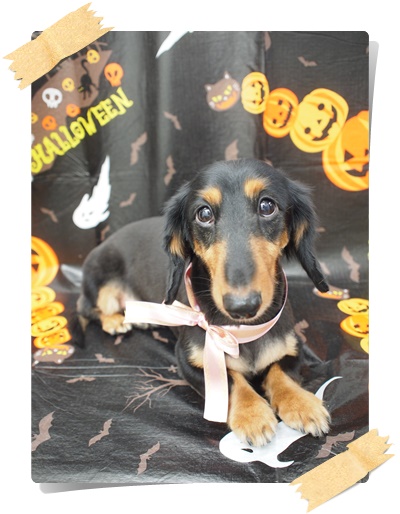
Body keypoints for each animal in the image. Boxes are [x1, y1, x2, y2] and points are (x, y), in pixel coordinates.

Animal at [74, 158, 331, 446]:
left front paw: (301, 403)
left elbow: (280, 372)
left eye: (267, 206)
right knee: (90, 309)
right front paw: (252, 414)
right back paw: (116, 321)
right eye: (204, 213)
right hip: (99, 282)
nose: (243, 306)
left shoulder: (293, 348)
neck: (239, 333)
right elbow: (230, 380)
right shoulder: (188, 362)